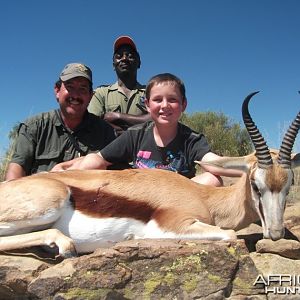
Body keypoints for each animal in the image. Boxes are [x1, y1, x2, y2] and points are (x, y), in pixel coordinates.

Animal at [0, 92, 298, 256]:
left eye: (288, 186)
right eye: (256, 185)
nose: (275, 233)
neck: (205, 198)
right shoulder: (174, 224)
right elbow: (230, 235)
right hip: (50, 203)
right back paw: (63, 246)